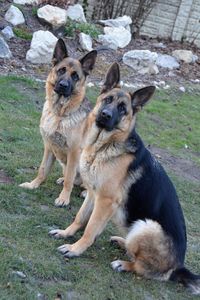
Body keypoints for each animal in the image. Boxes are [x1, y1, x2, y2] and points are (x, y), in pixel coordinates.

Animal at [19, 38, 97, 207]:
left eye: (75, 76)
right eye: (61, 70)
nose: (63, 86)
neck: (59, 114)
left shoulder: (74, 153)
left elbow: (69, 178)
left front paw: (63, 198)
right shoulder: (48, 147)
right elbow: (42, 169)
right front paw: (33, 185)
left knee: (85, 185)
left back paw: (84, 191)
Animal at [48, 62, 200, 294]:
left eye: (122, 109)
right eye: (107, 100)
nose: (104, 115)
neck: (103, 147)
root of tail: (179, 267)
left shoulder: (106, 201)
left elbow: (90, 229)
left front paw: (75, 249)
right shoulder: (93, 194)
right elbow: (80, 217)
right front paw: (66, 233)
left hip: (145, 226)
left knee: (146, 269)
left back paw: (124, 263)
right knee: (135, 253)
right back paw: (121, 242)